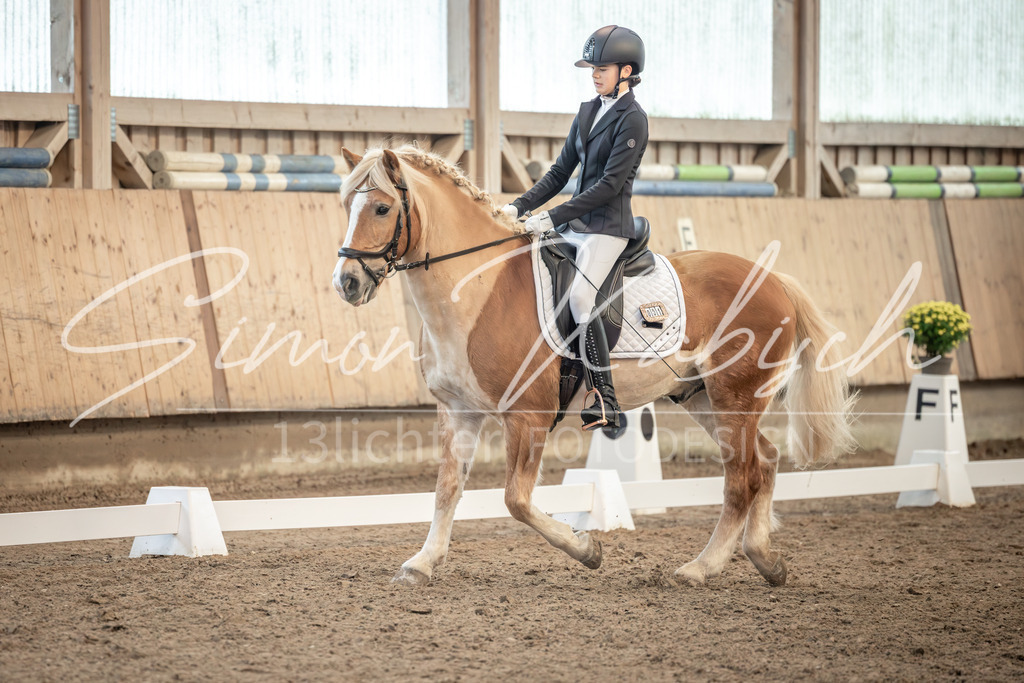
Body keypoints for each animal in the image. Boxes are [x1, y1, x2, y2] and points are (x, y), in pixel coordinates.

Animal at [332, 145, 856, 587]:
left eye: (381, 208)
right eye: (345, 206)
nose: (347, 283)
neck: (477, 289)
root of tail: (774, 279)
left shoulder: (527, 416)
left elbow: (516, 500)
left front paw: (587, 549)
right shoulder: (458, 410)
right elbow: (447, 488)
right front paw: (421, 564)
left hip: (736, 397)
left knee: (742, 478)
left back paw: (700, 568)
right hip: (704, 398)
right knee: (764, 462)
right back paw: (764, 559)